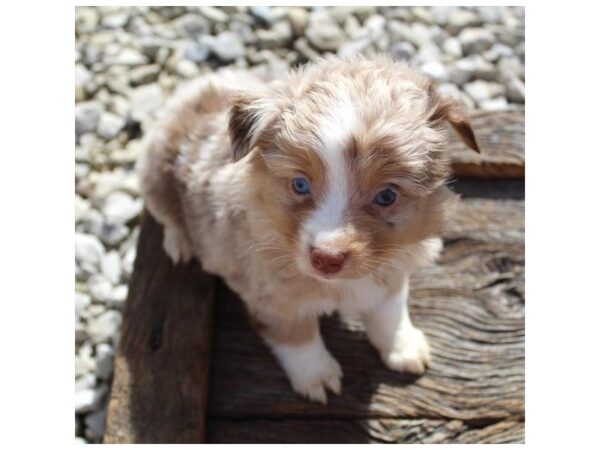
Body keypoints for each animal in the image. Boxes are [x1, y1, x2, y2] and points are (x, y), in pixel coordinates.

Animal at [137, 55, 478, 404]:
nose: (327, 257)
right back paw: (180, 243)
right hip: (154, 172)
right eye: (299, 184)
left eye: (386, 196)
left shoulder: (393, 266)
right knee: (165, 213)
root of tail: (194, 90)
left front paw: (403, 347)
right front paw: (317, 377)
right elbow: (297, 337)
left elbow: (390, 312)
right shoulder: (274, 295)